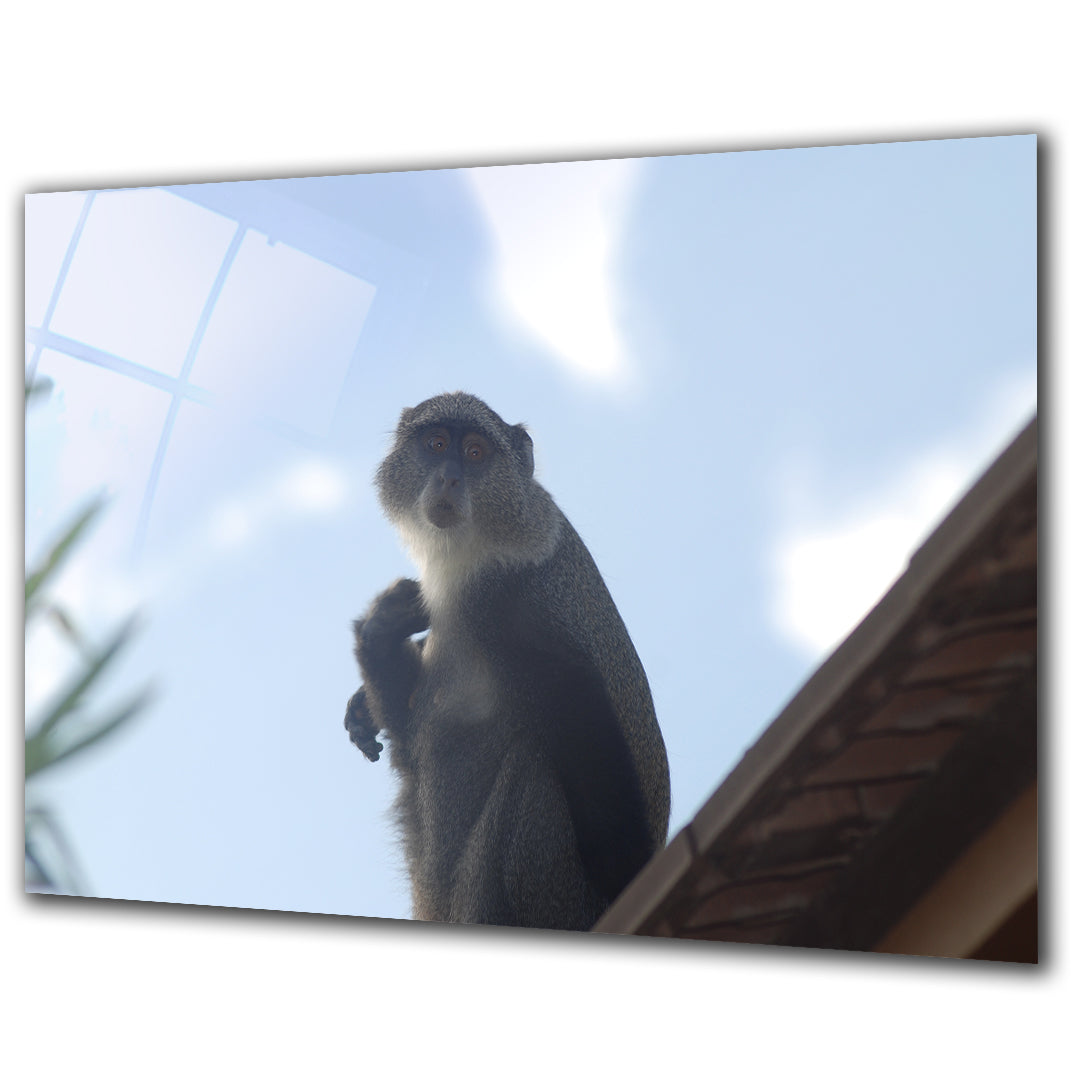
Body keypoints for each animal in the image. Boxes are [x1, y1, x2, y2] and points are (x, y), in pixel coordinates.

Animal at [344, 392, 670, 931]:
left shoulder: (510, 603)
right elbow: (406, 734)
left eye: (476, 453)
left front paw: (629, 875)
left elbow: (582, 709)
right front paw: (378, 639)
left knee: (532, 765)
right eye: (437, 444)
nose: (449, 478)